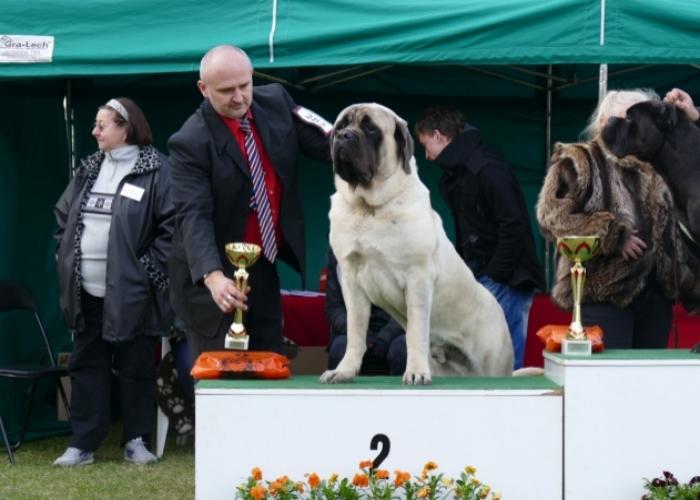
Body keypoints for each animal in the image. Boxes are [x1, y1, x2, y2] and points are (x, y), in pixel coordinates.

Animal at [320, 100, 512, 382]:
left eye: (370, 128)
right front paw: (344, 370)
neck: (369, 207)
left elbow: (415, 332)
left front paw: (416, 372)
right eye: (340, 126)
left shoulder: (417, 278)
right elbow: (355, 332)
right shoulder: (351, 281)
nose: (344, 136)